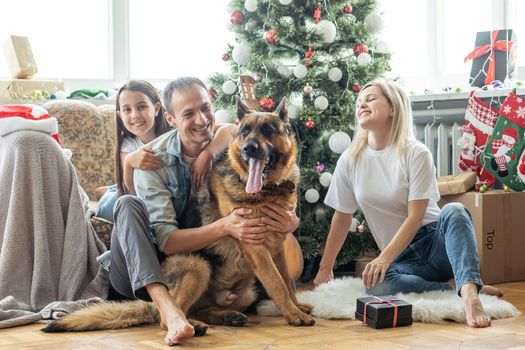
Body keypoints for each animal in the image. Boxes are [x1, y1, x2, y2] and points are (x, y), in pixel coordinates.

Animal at [43, 98, 314, 336]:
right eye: (245, 132)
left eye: (268, 130)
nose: (249, 148)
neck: (268, 190)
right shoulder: (256, 247)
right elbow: (277, 283)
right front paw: (294, 314)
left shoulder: (277, 247)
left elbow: (286, 280)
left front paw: (296, 306)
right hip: (199, 266)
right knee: (167, 316)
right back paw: (188, 325)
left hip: (245, 292)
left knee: (201, 309)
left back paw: (225, 317)